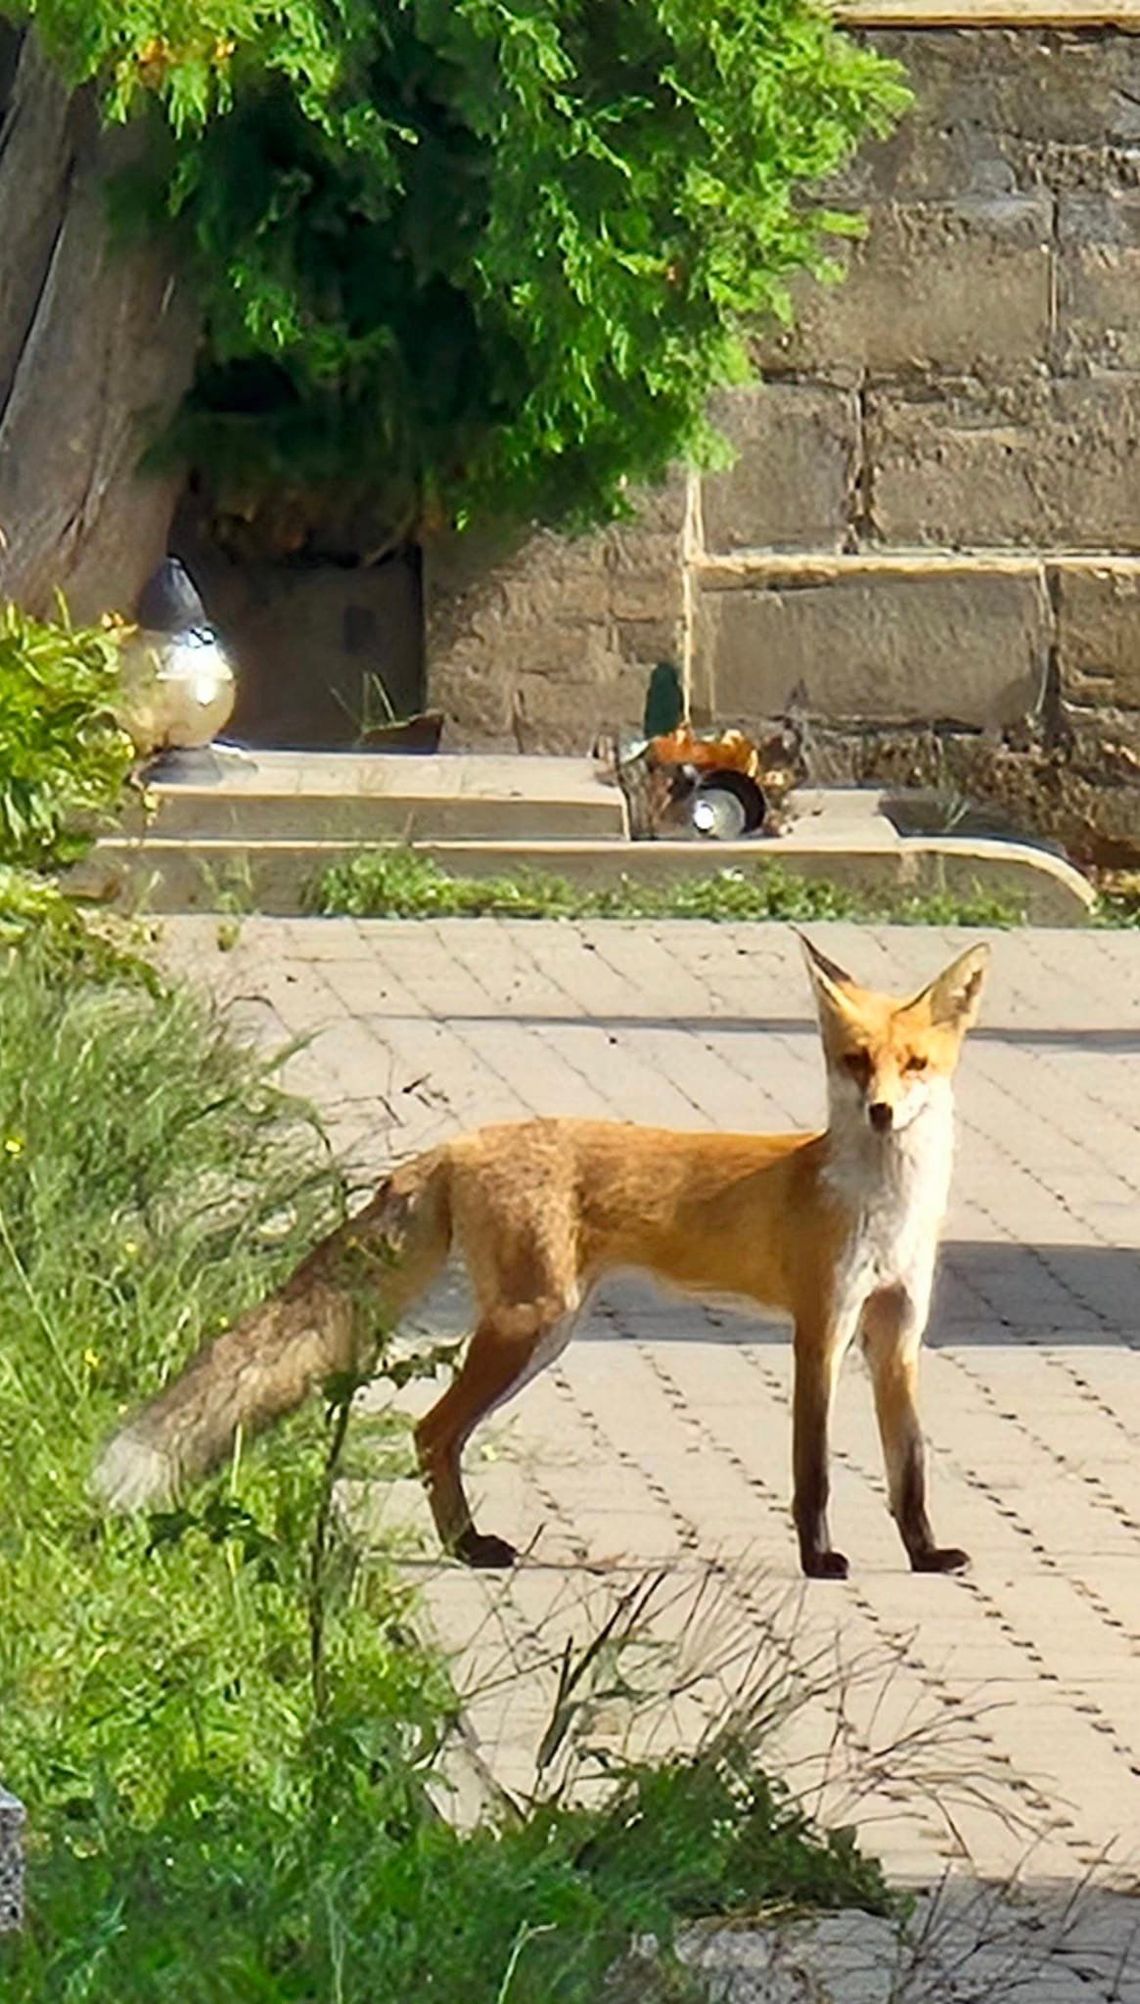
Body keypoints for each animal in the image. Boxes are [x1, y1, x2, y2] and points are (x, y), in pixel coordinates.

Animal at [95, 933, 985, 1579]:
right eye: (855, 1062)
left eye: (916, 1065)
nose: (879, 1113)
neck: (882, 1203)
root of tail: (457, 1144)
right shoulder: (819, 1328)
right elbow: (813, 1469)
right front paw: (818, 1558)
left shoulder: (896, 1333)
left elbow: (908, 1467)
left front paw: (924, 1554)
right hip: (533, 1323)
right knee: (430, 1431)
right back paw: (468, 1548)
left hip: (544, 1333)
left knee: (436, 1433)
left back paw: (466, 1544)